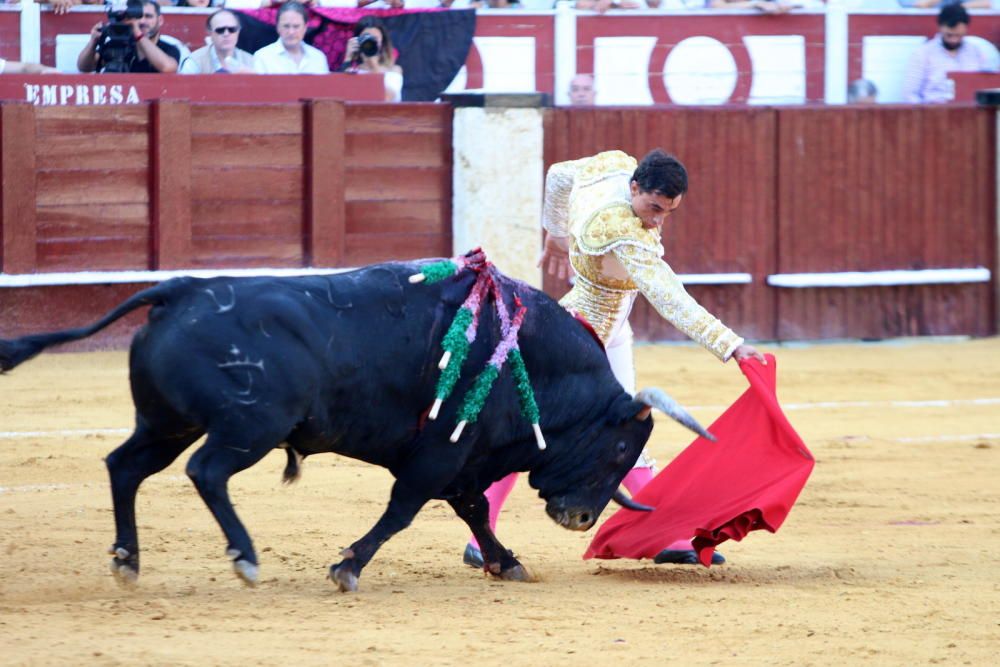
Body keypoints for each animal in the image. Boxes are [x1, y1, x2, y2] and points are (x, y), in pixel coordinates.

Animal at [0, 264, 704, 592]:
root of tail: (181, 290)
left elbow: (474, 511)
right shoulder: (439, 455)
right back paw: (245, 558)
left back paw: (128, 561)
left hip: (165, 423)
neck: (527, 356)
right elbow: (403, 512)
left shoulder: (461, 459)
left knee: (124, 466)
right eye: (620, 445)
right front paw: (347, 567)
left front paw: (507, 564)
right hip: (247, 428)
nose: (581, 518)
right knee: (206, 472)